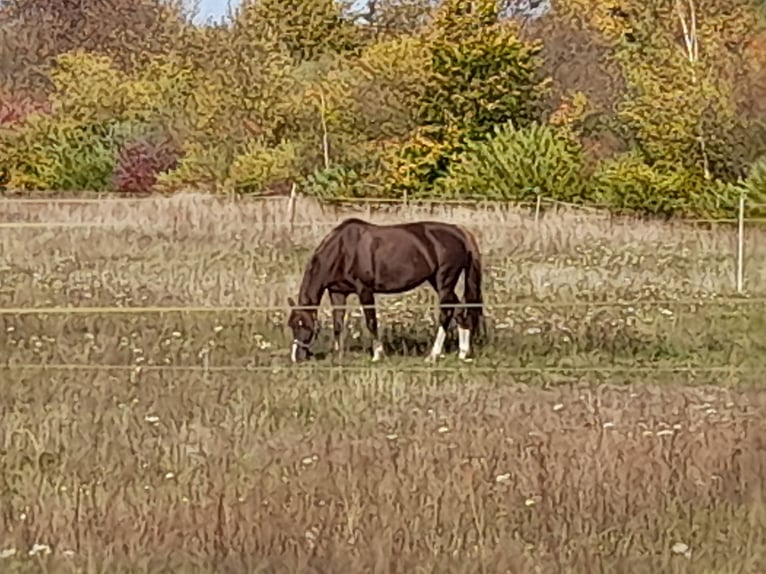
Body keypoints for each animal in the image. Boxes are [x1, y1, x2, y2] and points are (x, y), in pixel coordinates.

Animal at [288, 218, 486, 366]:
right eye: (292, 325)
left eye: (305, 326)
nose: (296, 357)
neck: (342, 250)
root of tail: (459, 232)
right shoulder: (337, 292)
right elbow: (337, 324)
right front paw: (338, 355)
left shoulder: (364, 290)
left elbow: (371, 322)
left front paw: (377, 354)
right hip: (439, 283)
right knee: (459, 310)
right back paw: (462, 353)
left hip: (444, 281)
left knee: (447, 311)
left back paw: (433, 355)